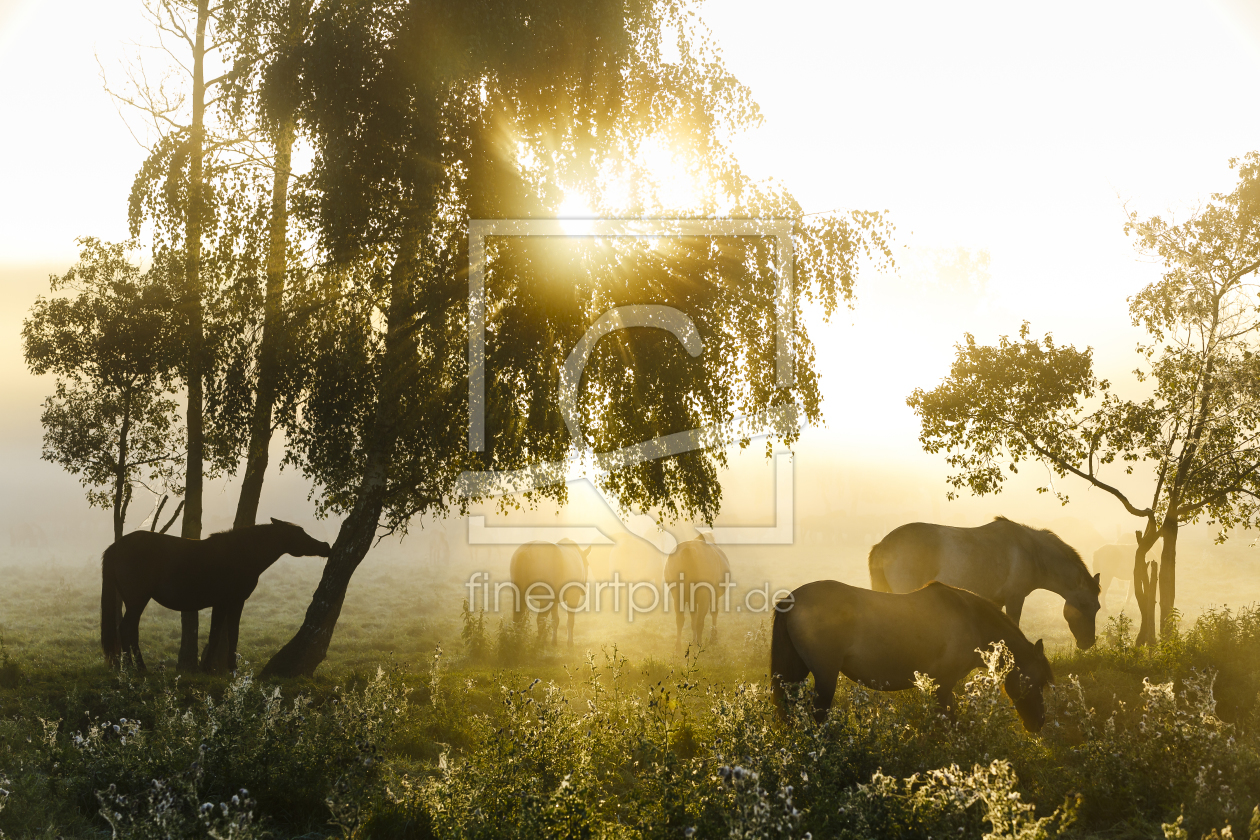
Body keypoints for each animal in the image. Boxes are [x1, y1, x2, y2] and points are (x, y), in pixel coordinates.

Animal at [101, 516, 332, 675]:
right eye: (299, 533)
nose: (326, 546)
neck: (242, 554)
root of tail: (114, 547)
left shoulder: (222, 604)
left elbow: (217, 635)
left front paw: (208, 669)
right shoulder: (233, 602)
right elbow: (229, 634)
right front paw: (229, 669)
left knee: (130, 630)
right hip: (137, 600)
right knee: (127, 629)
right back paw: (136, 669)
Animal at [766, 581, 1053, 730]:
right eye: (1037, 681)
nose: (1038, 723)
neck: (971, 620)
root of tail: (791, 600)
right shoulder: (944, 683)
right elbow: (947, 720)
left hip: (795, 672)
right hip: (825, 675)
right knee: (818, 714)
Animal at [871, 518, 1098, 649]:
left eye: (1097, 608)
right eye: (1085, 605)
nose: (1088, 643)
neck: (1032, 551)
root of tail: (883, 544)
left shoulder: (996, 601)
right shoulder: (1015, 599)